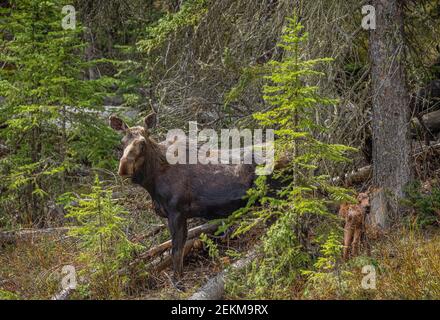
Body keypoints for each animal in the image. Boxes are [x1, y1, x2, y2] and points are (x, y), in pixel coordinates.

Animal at [108, 114, 256, 284]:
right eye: (122, 142)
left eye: (143, 142)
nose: (124, 167)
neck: (152, 180)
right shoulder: (181, 215)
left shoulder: (176, 212)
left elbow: (176, 252)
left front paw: (178, 282)